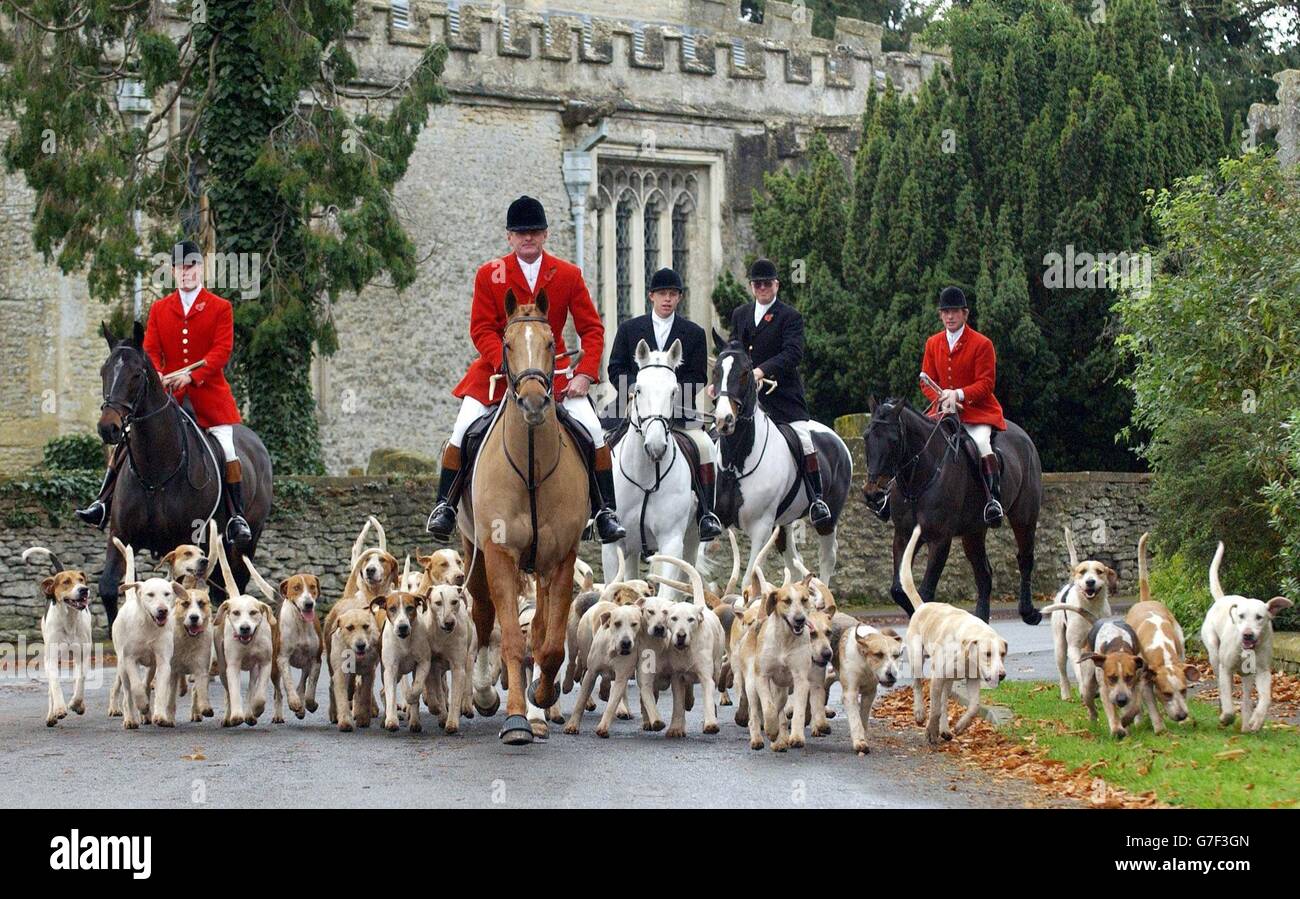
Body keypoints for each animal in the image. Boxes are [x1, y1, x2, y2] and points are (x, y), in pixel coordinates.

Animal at [94, 323, 273, 626]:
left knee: (235, 585)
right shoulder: (121, 535)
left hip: (246, 542)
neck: (155, 471)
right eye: (104, 371)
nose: (109, 428)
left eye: (136, 374)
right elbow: (108, 587)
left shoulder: (185, 541)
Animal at [452, 289, 585, 743]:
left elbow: (550, 643)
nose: (532, 401)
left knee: (541, 628)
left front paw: (540, 698)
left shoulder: (561, 560)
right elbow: (509, 636)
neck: (529, 464)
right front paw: (513, 718)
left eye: (551, 342)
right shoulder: (500, 555)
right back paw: (484, 694)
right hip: (473, 551)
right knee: (482, 613)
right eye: (507, 344)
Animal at [712, 340, 852, 587]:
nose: (723, 420)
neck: (736, 463)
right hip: (784, 523)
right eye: (716, 371)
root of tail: (837, 439)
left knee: (827, 557)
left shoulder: (761, 527)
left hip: (827, 518)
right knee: (794, 564)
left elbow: (748, 580)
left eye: (745, 373)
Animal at [863, 400, 1045, 626]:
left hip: (1024, 516)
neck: (920, 476)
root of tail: (1024, 437)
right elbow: (899, 590)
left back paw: (1028, 612)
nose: (873, 494)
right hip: (973, 533)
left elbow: (924, 592)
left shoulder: (940, 539)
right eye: (866, 436)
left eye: (894, 440)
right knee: (984, 575)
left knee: (1025, 558)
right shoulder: (903, 536)